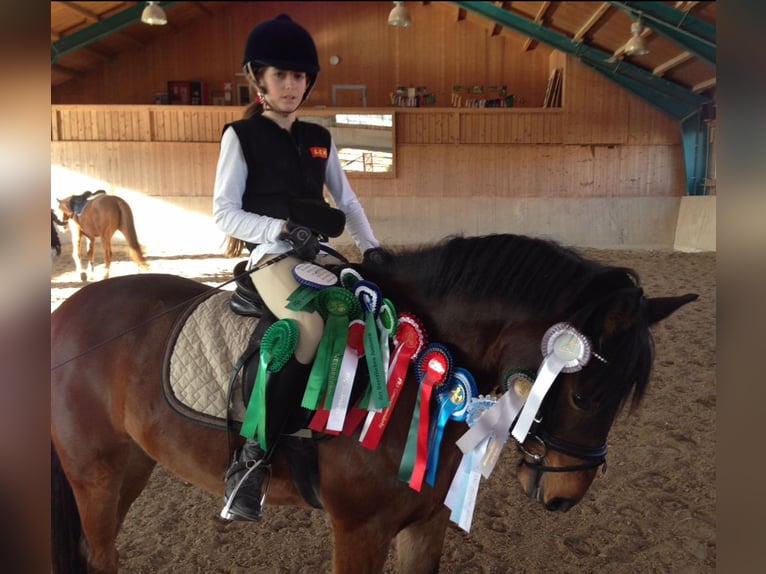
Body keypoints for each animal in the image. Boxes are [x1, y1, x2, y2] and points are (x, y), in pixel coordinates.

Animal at [46, 234, 696, 574]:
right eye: (584, 393)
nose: (564, 496)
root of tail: (65, 311)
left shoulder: (425, 521)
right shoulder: (359, 529)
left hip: (133, 463)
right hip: (94, 473)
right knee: (99, 554)